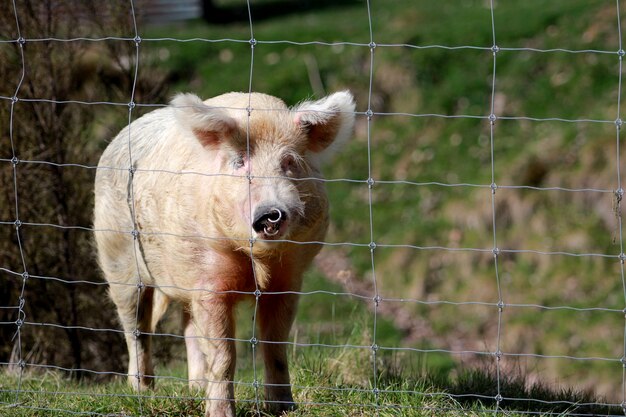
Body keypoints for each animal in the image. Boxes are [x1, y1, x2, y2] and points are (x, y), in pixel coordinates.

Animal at [94, 92, 356, 416]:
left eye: (289, 162)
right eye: (239, 162)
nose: (271, 213)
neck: (257, 263)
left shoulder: (288, 280)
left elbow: (275, 344)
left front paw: (283, 408)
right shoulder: (209, 282)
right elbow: (224, 354)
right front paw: (221, 413)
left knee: (188, 328)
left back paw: (195, 389)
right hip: (118, 257)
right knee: (136, 327)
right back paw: (142, 391)